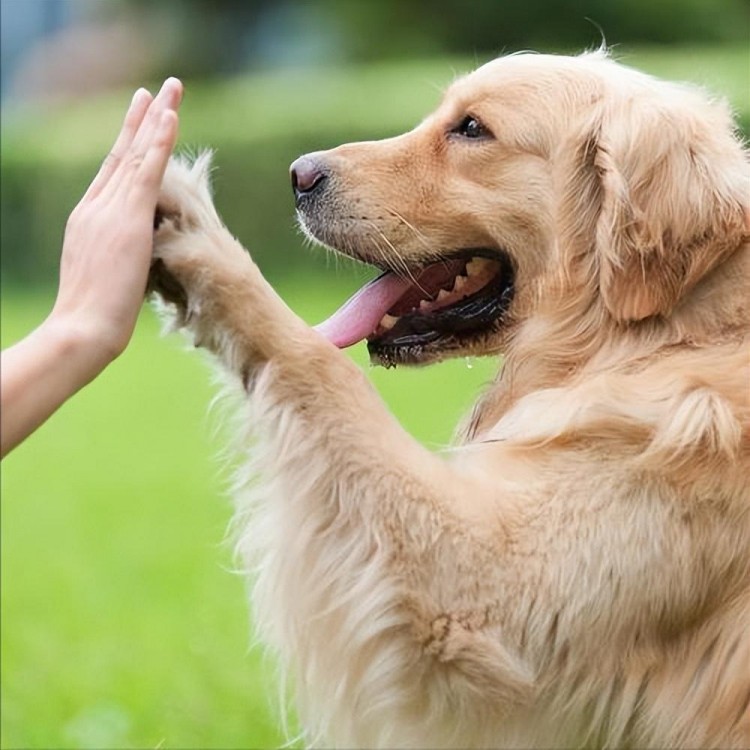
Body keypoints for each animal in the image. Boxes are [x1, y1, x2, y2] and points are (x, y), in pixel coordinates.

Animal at [148, 50, 750, 748]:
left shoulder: (486, 595)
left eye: (471, 129)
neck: (671, 333)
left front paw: (191, 229)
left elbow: (323, 365)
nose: (298, 175)